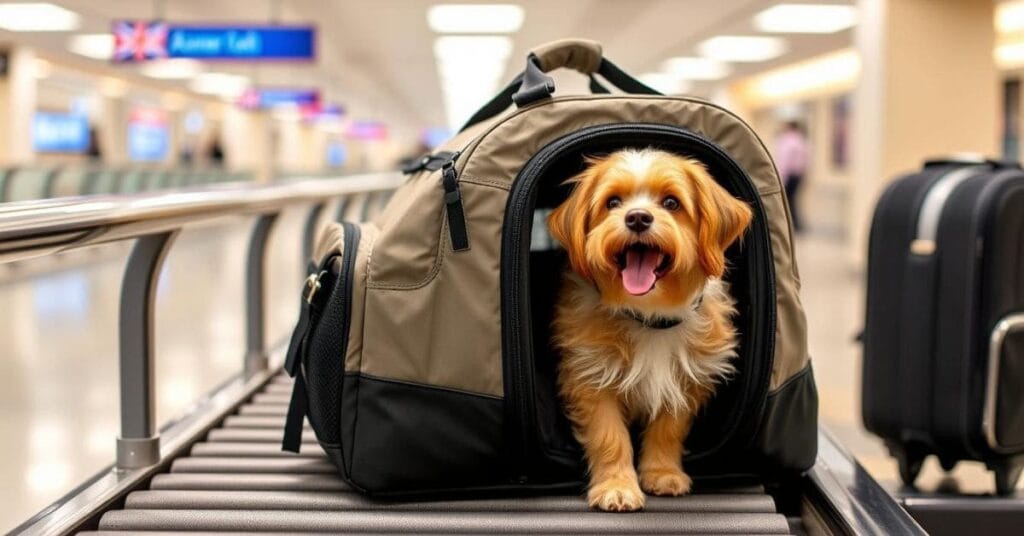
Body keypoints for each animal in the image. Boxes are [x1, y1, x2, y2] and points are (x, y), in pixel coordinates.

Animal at [548, 146, 757, 512]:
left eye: (671, 202)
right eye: (613, 202)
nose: (637, 218)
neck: (650, 317)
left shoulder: (687, 380)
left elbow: (668, 430)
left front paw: (662, 473)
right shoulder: (590, 379)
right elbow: (609, 437)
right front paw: (617, 486)